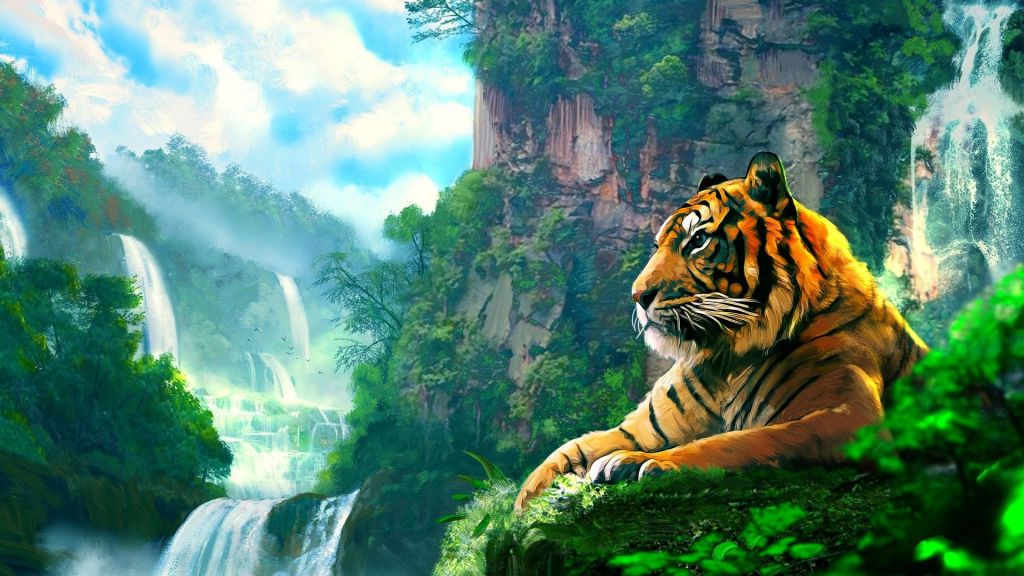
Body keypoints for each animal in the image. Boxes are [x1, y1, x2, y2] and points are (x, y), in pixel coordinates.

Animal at [514, 151, 928, 511]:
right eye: (657, 244)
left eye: (698, 240)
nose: (637, 295)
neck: (727, 356)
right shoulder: (644, 428)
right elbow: (570, 450)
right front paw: (522, 505)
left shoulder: (849, 416)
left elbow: (740, 441)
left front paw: (638, 463)